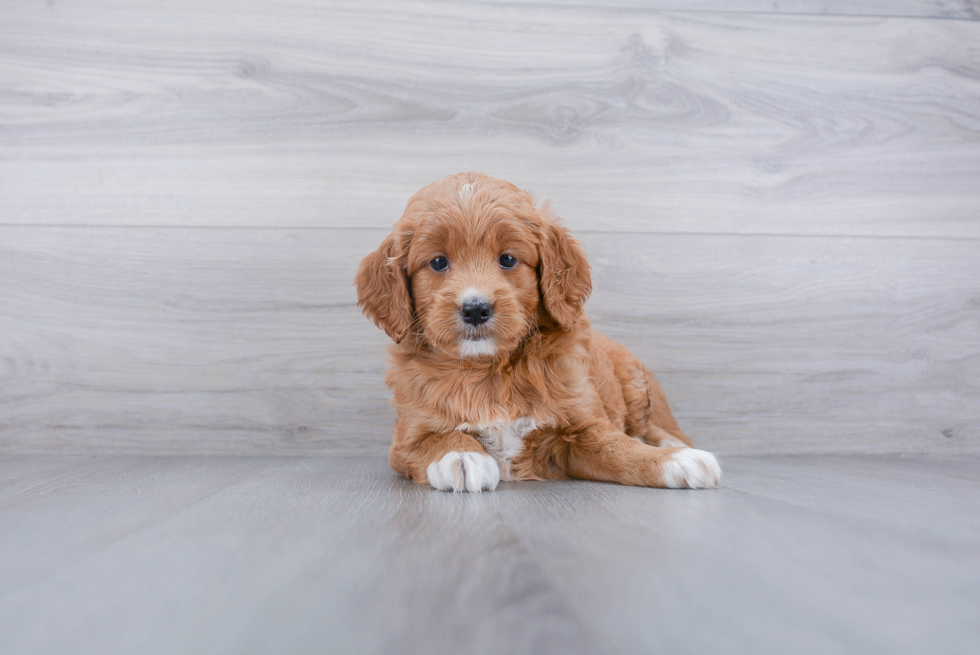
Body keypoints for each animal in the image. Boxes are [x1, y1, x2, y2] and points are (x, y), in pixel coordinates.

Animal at [354, 173, 720, 492]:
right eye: (438, 262)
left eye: (508, 259)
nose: (475, 309)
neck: (489, 372)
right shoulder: (407, 437)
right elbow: (436, 437)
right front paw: (461, 455)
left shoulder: (583, 427)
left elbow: (621, 447)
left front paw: (677, 461)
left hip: (634, 379)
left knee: (650, 426)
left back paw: (673, 443)